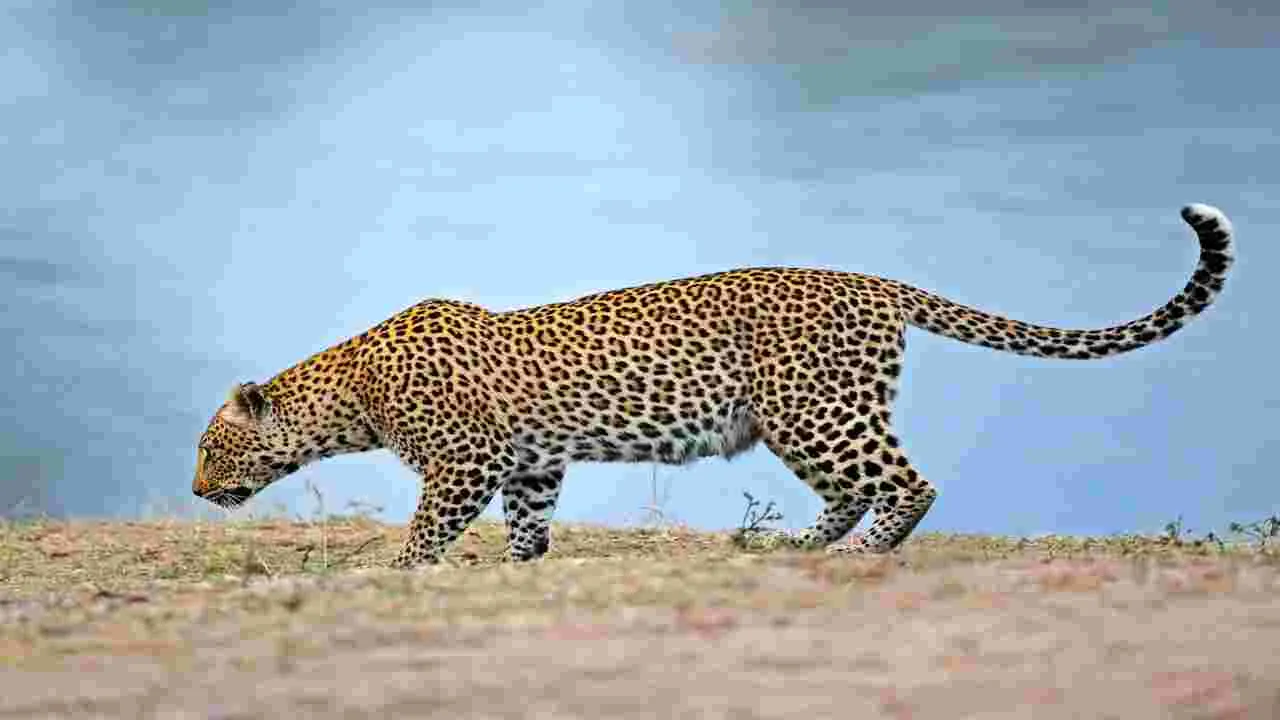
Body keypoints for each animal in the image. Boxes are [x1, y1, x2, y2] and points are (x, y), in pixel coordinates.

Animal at [193, 204, 1235, 567]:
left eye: (209, 447)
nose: (197, 491)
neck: (347, 395)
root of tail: (875, 281)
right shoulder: (530, 463)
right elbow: (529, 525)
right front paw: (523, 567)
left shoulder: (466, 462)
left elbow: (426, 531)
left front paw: (399, 571)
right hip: (801, 419)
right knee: (852, 491)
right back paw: (785, 546)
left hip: (817, 410)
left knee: (905, 484)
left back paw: (858, 554)